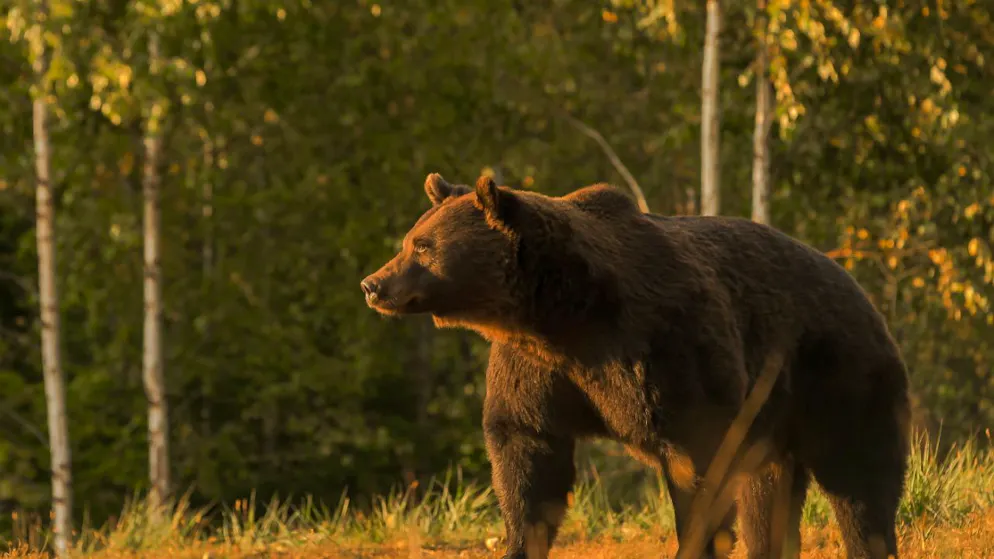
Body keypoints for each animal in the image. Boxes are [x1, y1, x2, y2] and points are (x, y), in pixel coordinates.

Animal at [361, 173, 911, 559]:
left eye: (422, 246)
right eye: (410, 239)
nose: (372, 284)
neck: (563, 317)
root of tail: (858, 288)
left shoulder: (665, 349)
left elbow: (700, 462)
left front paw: (697, 543)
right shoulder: (536, 370)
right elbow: (527, 454)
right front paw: (520, 541)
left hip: (839, 375)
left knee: (860, 479)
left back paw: (871, 540)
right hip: (773, 416)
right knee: (769, 493)